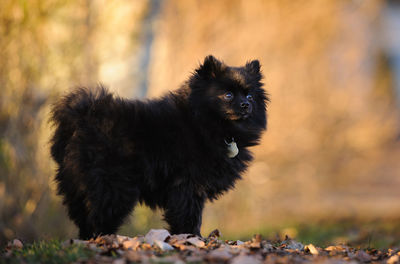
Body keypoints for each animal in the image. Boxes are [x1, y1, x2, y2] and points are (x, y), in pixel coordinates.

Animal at [50, 55, 268, 239]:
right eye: (228, 95)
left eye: (250, 97)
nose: (245, 105)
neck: (205, 124)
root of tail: (83, 116)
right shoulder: (188, 185)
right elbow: (189, 216)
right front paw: (192, 238)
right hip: (114, 185)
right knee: (100, 217)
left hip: (76, 185)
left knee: (84, 218)